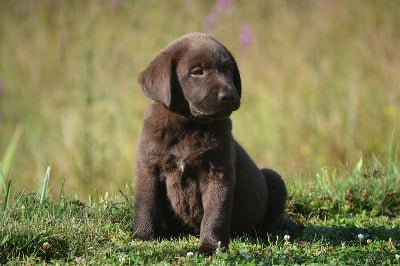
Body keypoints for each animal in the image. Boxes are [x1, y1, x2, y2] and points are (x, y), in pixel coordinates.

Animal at [134, 33, 288, 256]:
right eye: (197, 72)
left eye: (229, 69)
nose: (229, 95)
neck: (188, 125)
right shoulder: (149, 168)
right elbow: (146, 205)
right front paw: (142, 236)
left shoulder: (218, 174)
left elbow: (215, 216)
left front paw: (209, 247)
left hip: (275, 180)